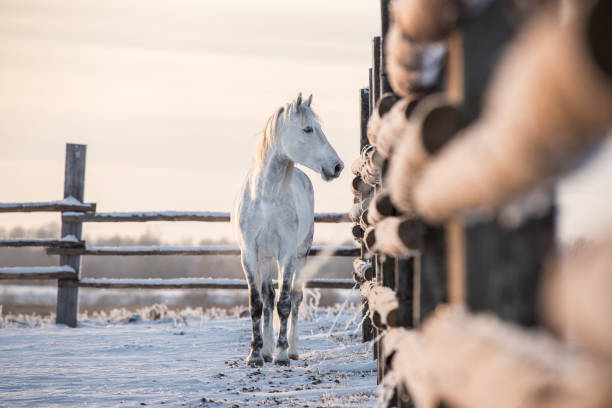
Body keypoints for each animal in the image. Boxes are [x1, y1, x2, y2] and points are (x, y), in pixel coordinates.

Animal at [231, 93, 342, 366]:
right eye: (308, 129)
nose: (337, 166)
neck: (265, 200)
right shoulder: (250, 256)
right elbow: (257, 303)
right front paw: (255, 355)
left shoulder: (288, 256)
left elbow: (285, 302)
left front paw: (281, 354)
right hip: (266, 259)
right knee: (268, 299)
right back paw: (266, 350)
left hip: (301, 254)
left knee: (295, 299)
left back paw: (291, 349)